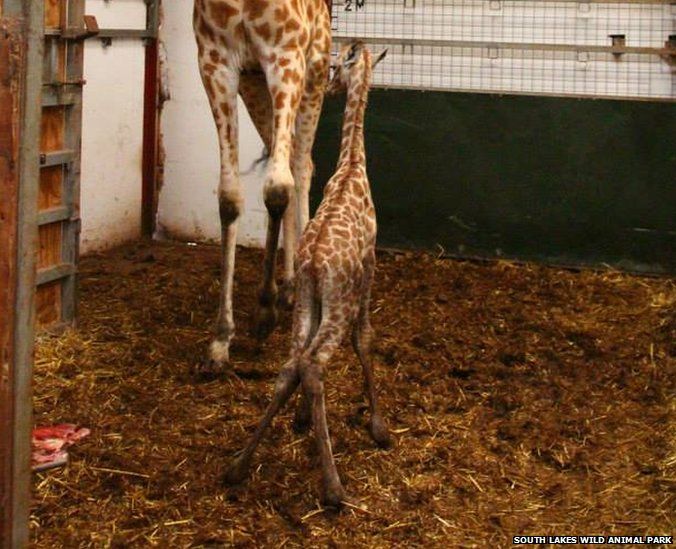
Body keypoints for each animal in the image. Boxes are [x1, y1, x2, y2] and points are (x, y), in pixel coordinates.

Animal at [191, 0, 332, 370]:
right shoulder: (216, 63)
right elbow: (230, 197)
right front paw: (220, 339)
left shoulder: (285, 57)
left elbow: (277, 188)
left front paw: (264, 311)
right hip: (255, 86)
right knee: (289, 161)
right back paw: (289, 285)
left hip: (313, 71)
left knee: (301, 165)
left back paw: (299, 284)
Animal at [224, 41, 388, 506]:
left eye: (337, 69)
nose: (331, 86)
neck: (352, 165)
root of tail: (314, 262)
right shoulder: (369, 267)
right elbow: (365, 338)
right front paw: (378, 426)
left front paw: (299, 419)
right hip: (336, 303)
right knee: (314, 364)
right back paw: (333, 487)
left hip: (305, 304)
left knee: (292, 363)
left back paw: (238, 466)